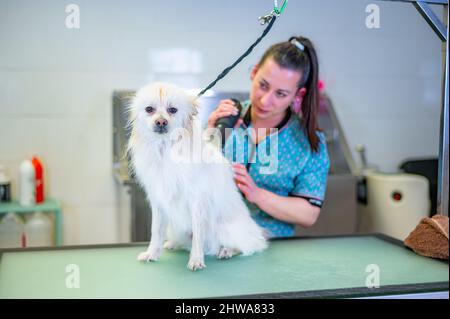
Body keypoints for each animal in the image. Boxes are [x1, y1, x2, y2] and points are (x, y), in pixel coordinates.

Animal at [126, 82, 268, 270]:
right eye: (149, 109)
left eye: (172, 110)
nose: (161, 121)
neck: (166, 149)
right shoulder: (158, 202)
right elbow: (156, 231)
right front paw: (152, 253)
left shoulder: (197, 201)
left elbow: (198, 234)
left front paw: (196, 259)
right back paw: (172, 244)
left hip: (225, 228)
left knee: (247, 245)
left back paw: (226, 250)